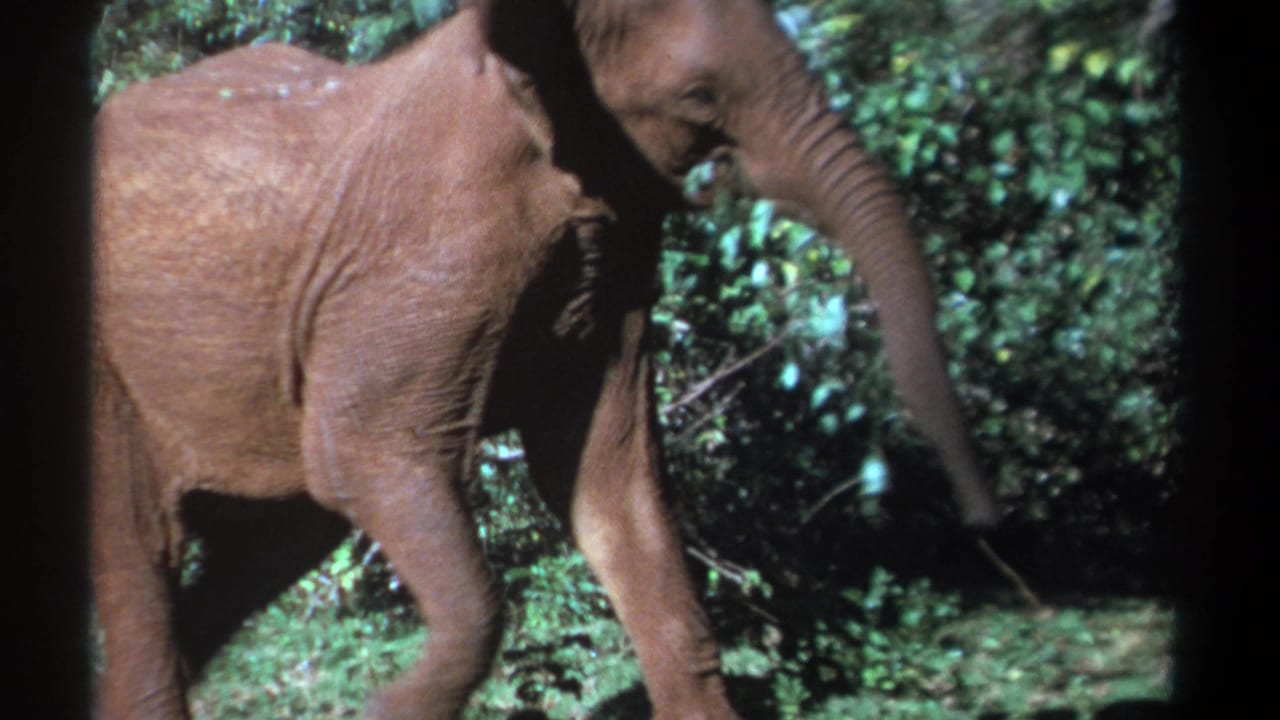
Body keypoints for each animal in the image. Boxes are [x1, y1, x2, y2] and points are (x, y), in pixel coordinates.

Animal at [91, 1, 999, 718]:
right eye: (700, 97)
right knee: (143, 556)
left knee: (266, 548)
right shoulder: (426, 256)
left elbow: (606, 477)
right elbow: (364, 455)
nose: (985, 519)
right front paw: (384, 712)